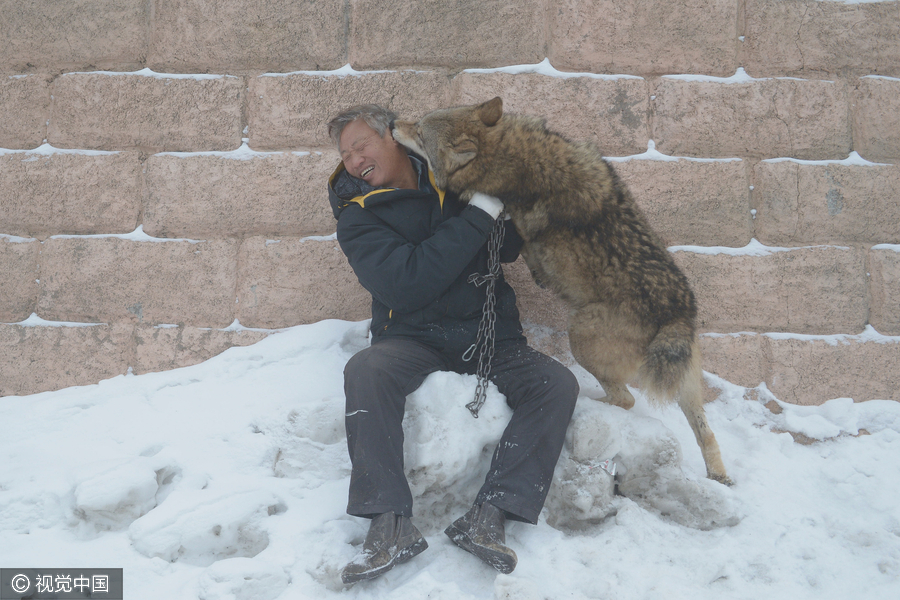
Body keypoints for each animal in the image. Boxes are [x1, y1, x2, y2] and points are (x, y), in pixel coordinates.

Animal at [392, 97, 731, 485]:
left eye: (419, 131)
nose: (391, 124)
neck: (513, 153)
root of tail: (678, 313)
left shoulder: (520, 228)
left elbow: (525, 244)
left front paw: (538, 272)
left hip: (580, 334)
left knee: (626, 400)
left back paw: (590, 401)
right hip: (686, 386)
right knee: (705, 432)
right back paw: (719, 475)